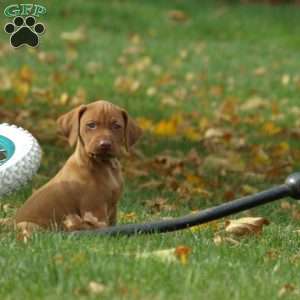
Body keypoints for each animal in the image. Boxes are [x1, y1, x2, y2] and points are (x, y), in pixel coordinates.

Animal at [14, 101, 144, 232]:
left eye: (116, 126)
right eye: (91, 125)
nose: (105, 144)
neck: (105, 166)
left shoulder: (112, 209)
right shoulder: (96, 213)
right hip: (28, 225)